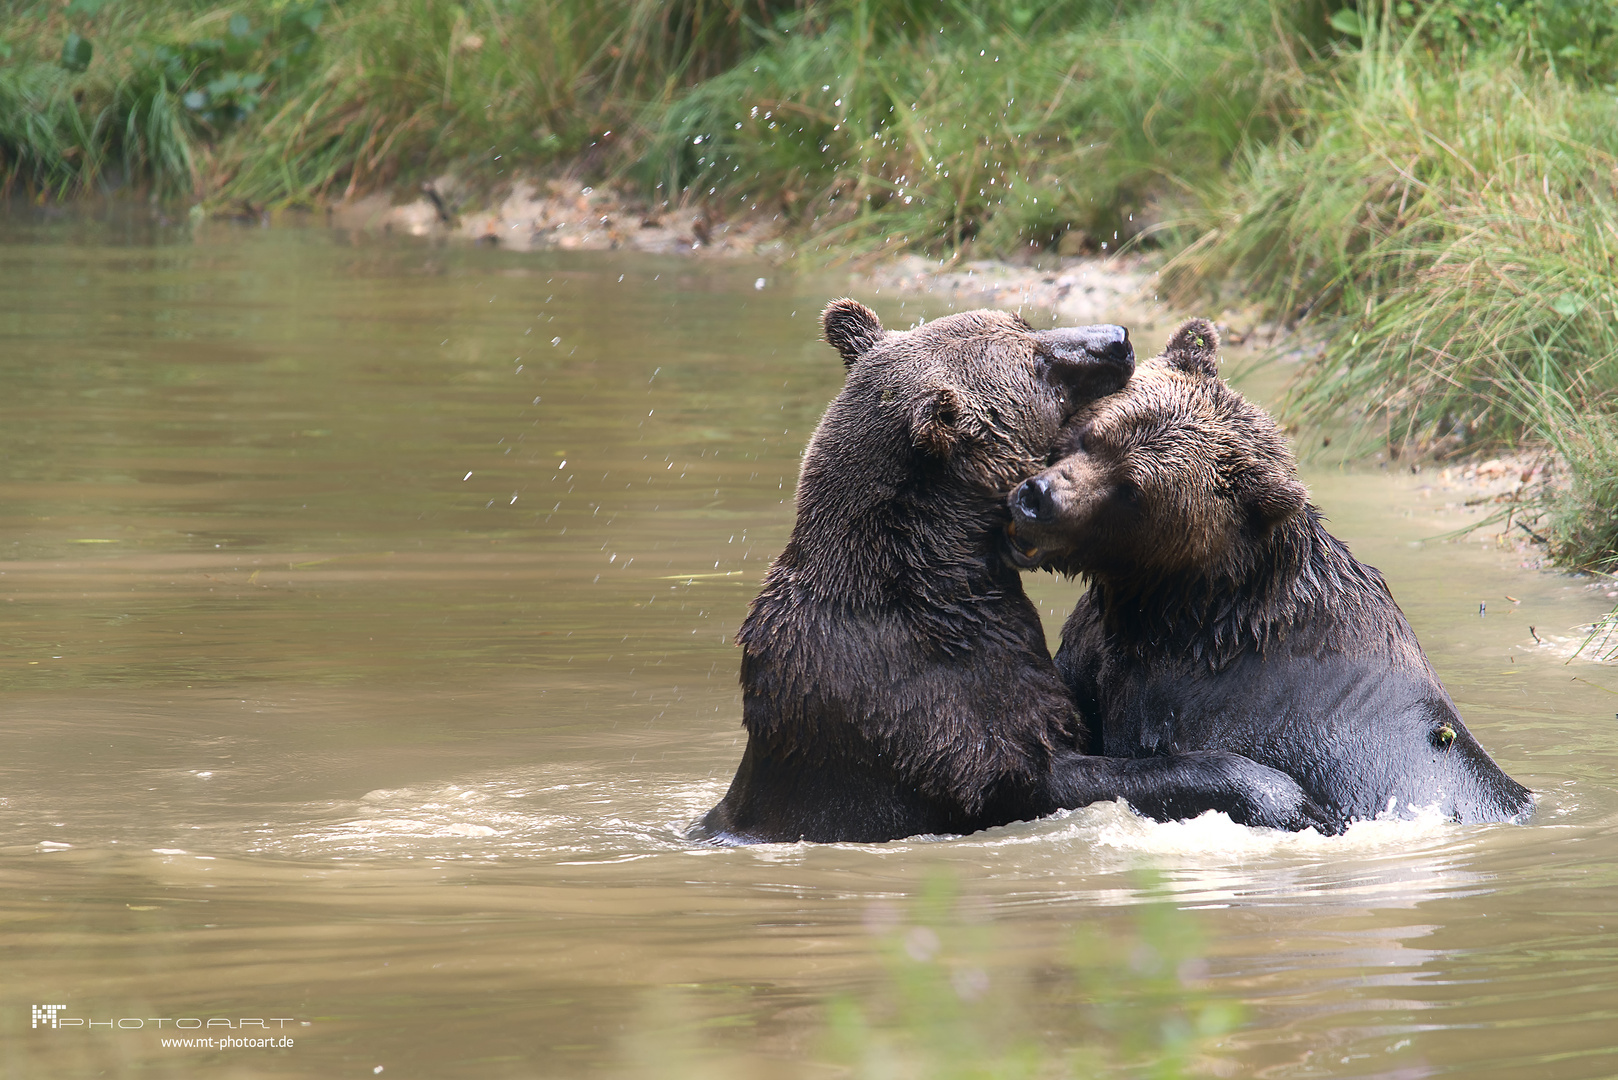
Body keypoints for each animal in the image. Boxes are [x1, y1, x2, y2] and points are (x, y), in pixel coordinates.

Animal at [695, 304, 1326, 841]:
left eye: (1022, 322)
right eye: (1035, 363)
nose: (1116, 338)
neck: (941, 579)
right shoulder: (930, 716)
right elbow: (1048, 773)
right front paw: (1279, 792)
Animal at [1003, 317, 1533, 835]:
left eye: (1132, 490)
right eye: (1092, 433)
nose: (1038, 499)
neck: (1173, 607)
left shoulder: (1192, 695)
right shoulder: (1099, 648)